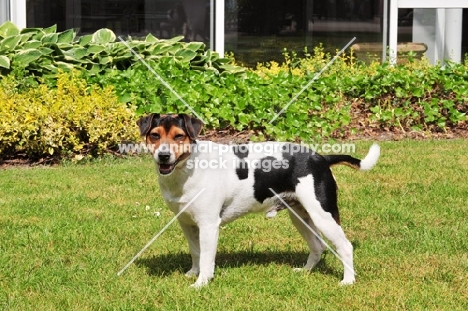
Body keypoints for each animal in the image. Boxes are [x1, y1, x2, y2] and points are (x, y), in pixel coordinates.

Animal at [136, 113, 380, 288]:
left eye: (179, 136)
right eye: (155, 135)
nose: (163, 156)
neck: (188, 168)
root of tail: (320, 158)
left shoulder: (208, 225)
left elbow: (206, 258)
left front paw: (201, 283)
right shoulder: (186, 223)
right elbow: (196, 252)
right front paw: (193, 274)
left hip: (323, 215)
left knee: (345, 246)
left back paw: (348, 281)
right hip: (301, 217)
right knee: (317, 246)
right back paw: (305, 271)